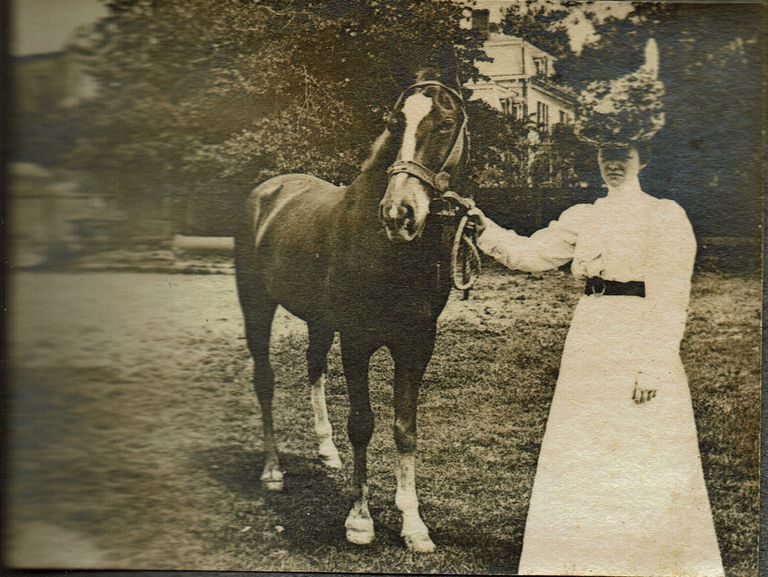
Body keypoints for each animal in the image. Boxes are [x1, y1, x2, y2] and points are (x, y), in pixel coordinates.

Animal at [233, 73, 476, 553]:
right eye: (394, 123)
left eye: (445, 124)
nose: (399, 213)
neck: (390, 252)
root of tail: (266, 191)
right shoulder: (357, 340)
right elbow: (362, 423)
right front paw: (360, 521)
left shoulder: (416, 344)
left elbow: (405, 427)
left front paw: (414, 526)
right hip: (257, 307)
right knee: (265, 379)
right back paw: (272, 471)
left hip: (319, 321)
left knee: (313, 367)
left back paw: (327, 453)